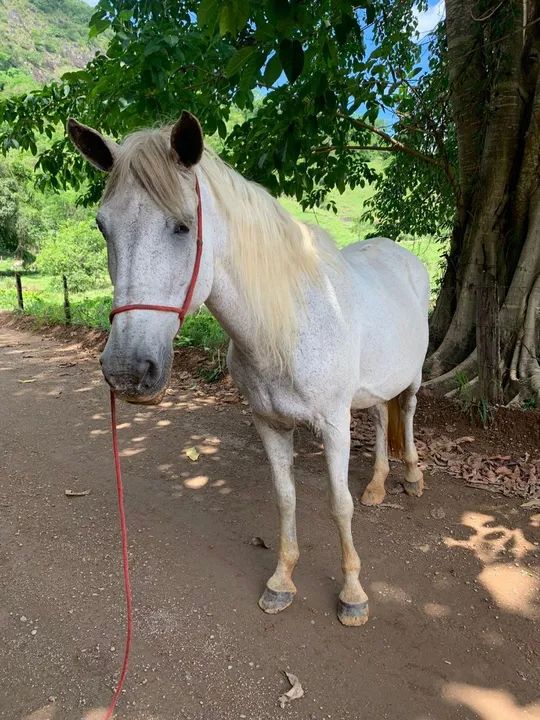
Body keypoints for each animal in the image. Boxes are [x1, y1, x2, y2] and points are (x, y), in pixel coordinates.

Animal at [67, 111, 429, 627]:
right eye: (102, 227)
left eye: (183, 227)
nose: (126, 370)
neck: (289, 323)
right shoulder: (269, 423)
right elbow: (286, 498)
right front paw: (281, 581)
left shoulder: (333, 424)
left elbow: (338, 505)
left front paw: (353, 594)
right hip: (373, 386)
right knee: (381, 416)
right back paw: (378, 486)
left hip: (412, 378)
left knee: (408, 413)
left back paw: (412, 478)